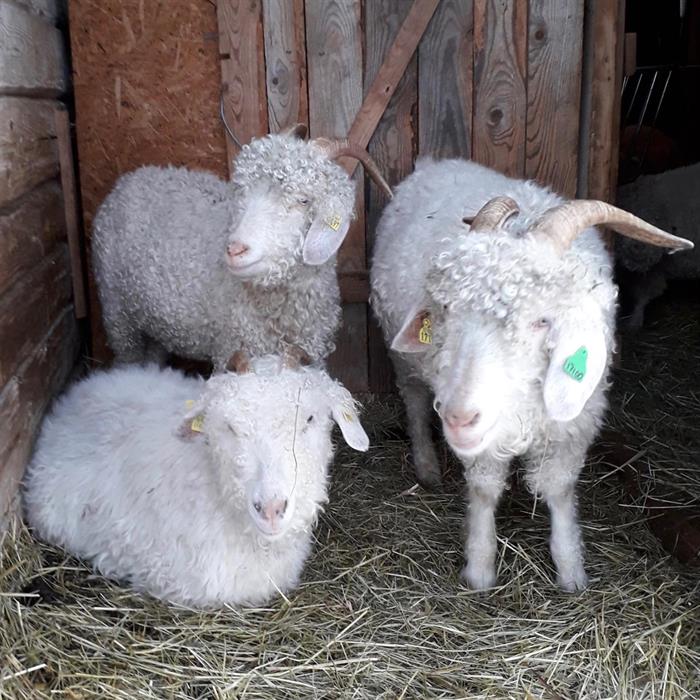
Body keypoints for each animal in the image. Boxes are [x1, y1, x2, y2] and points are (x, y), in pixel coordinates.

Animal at [92, 124, 392, 369]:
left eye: (304, 200)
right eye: (242, 193)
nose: (235, 250)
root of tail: (127, 182)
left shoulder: (311, 353)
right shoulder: (230, 350)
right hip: (117, 313)